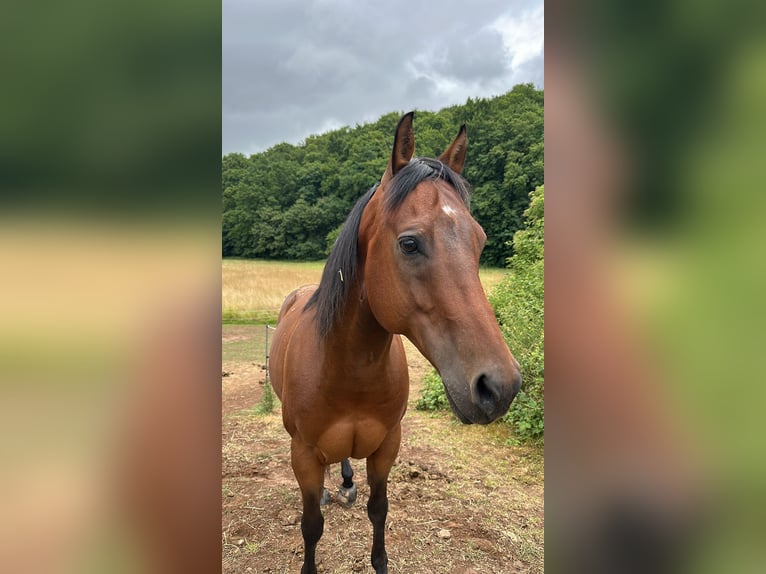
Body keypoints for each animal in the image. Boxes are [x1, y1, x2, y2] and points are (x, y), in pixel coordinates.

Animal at [269, 112, 522, 574]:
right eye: (409, 243)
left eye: (479, 241)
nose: (500, 386)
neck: (348, 369)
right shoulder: (304, 456)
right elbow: (311, 526)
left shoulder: (387, 447)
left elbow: (379, 510)